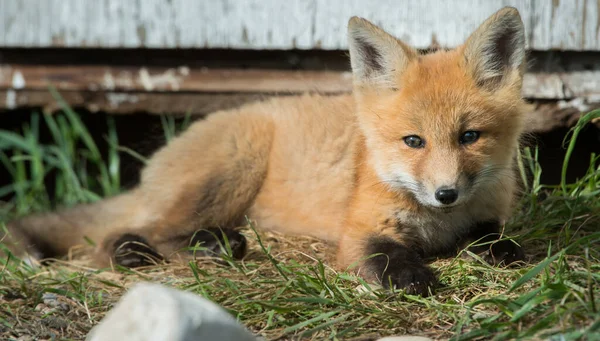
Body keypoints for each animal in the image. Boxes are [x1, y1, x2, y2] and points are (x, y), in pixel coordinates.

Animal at [2, 7, 524, 294]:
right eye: (413, 141)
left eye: (469, 137)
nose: (445, 193)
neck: (437, 225)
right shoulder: (360, 231)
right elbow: (388, 258)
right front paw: (415, 279)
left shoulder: (486, 217)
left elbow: (500, 242)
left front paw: (506, 255)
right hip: (233, 168)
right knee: (136, 231)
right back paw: (157, 249)